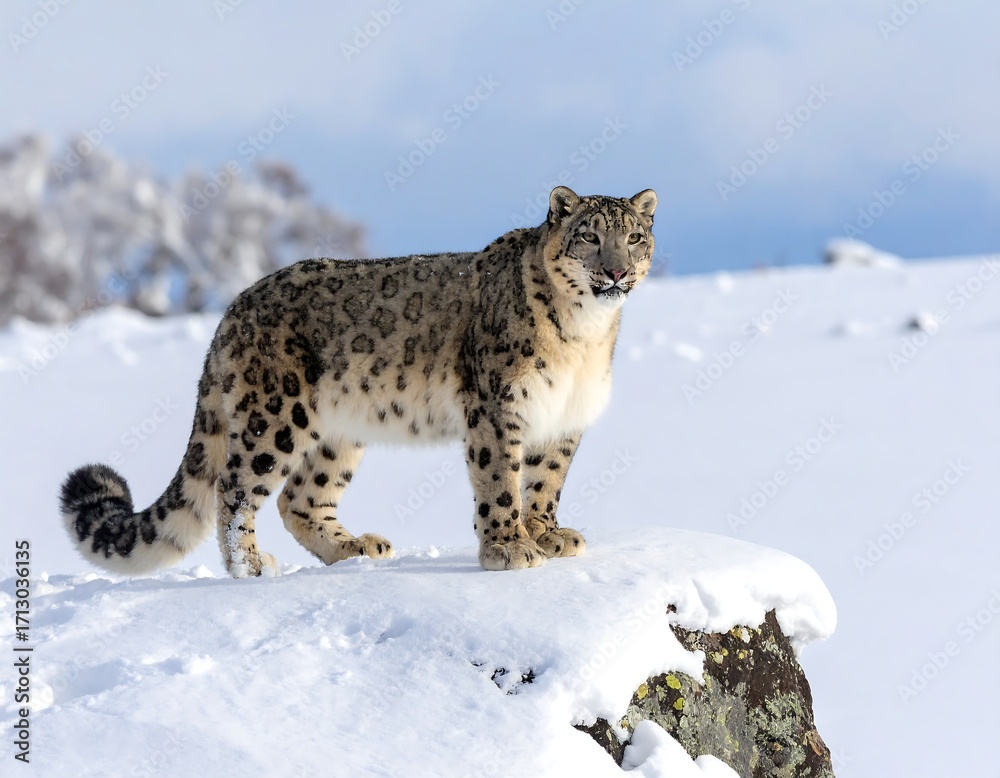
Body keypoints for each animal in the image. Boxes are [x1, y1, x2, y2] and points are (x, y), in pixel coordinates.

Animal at [59, 185, 657, 578]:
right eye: (588, 236)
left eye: (634, 237)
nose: (616, 270)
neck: (583, 335)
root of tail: (233, 309)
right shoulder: (497, 409)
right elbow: (499, 483)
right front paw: (509, 549)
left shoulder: (563, 419)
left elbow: (545, 482)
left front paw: (548, 535)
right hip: (274, 416)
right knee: (235, 490)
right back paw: (250, 565)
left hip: (337, 434)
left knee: (300, 499)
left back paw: (355, 549)